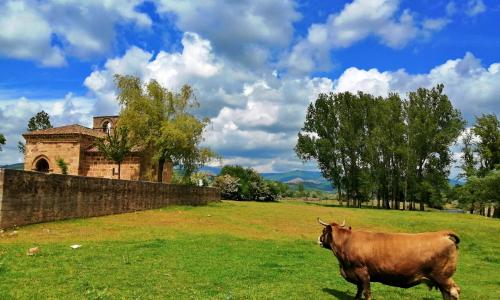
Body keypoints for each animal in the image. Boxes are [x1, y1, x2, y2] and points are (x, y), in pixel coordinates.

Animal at [318, 218, 458, 300]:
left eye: (323, 230)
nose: (319, 239)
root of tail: (442, 233)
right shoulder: (357, 275)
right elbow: (359, 290)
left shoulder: (362, 271)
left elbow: (366, 292)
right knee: (447, 293)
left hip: (442, 276)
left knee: (454, 291)